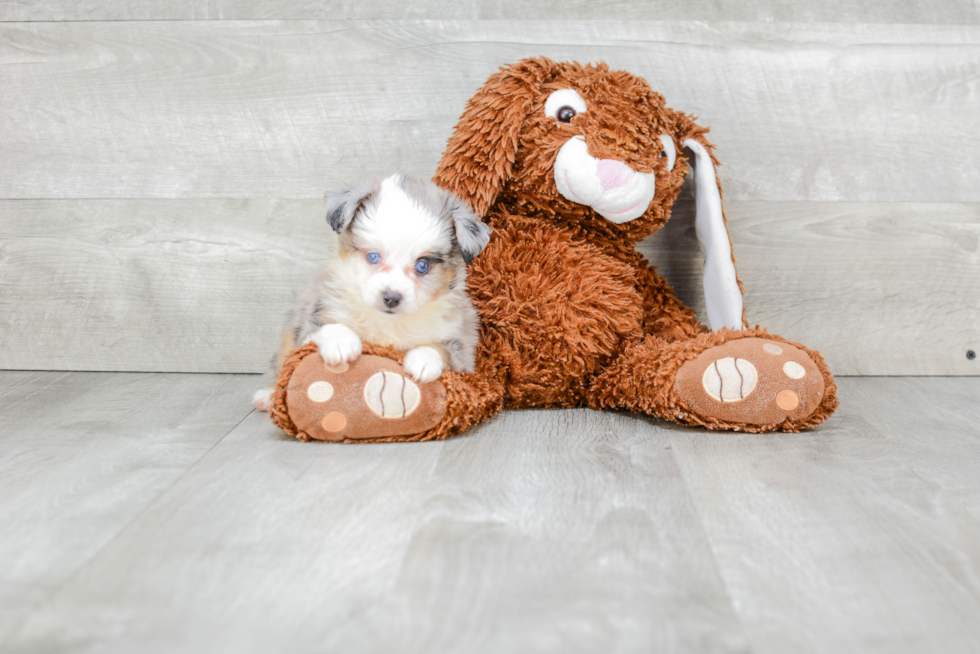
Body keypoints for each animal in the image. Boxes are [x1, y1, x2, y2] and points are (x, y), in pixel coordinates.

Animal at [253, 174, 490, 410]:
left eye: (423, 265)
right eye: (373, 256)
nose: (391, 298)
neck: (387, 323)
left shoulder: (462, 345)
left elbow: (443, 349)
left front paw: (423, 359)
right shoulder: (313, 318)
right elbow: (327, 327)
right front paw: (341, 342)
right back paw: (268, 395)